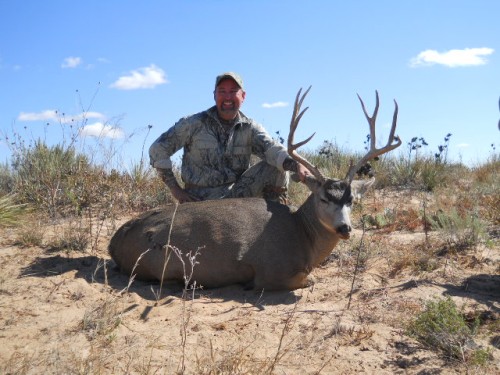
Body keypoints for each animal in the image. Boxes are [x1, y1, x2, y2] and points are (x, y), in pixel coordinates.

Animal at [109, 88, 402, 290]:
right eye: (322, 198)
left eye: (351, 200)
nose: (344, 228)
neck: (302, 237)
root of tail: (115, 241)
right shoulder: (271, 272)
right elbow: (306, 281)